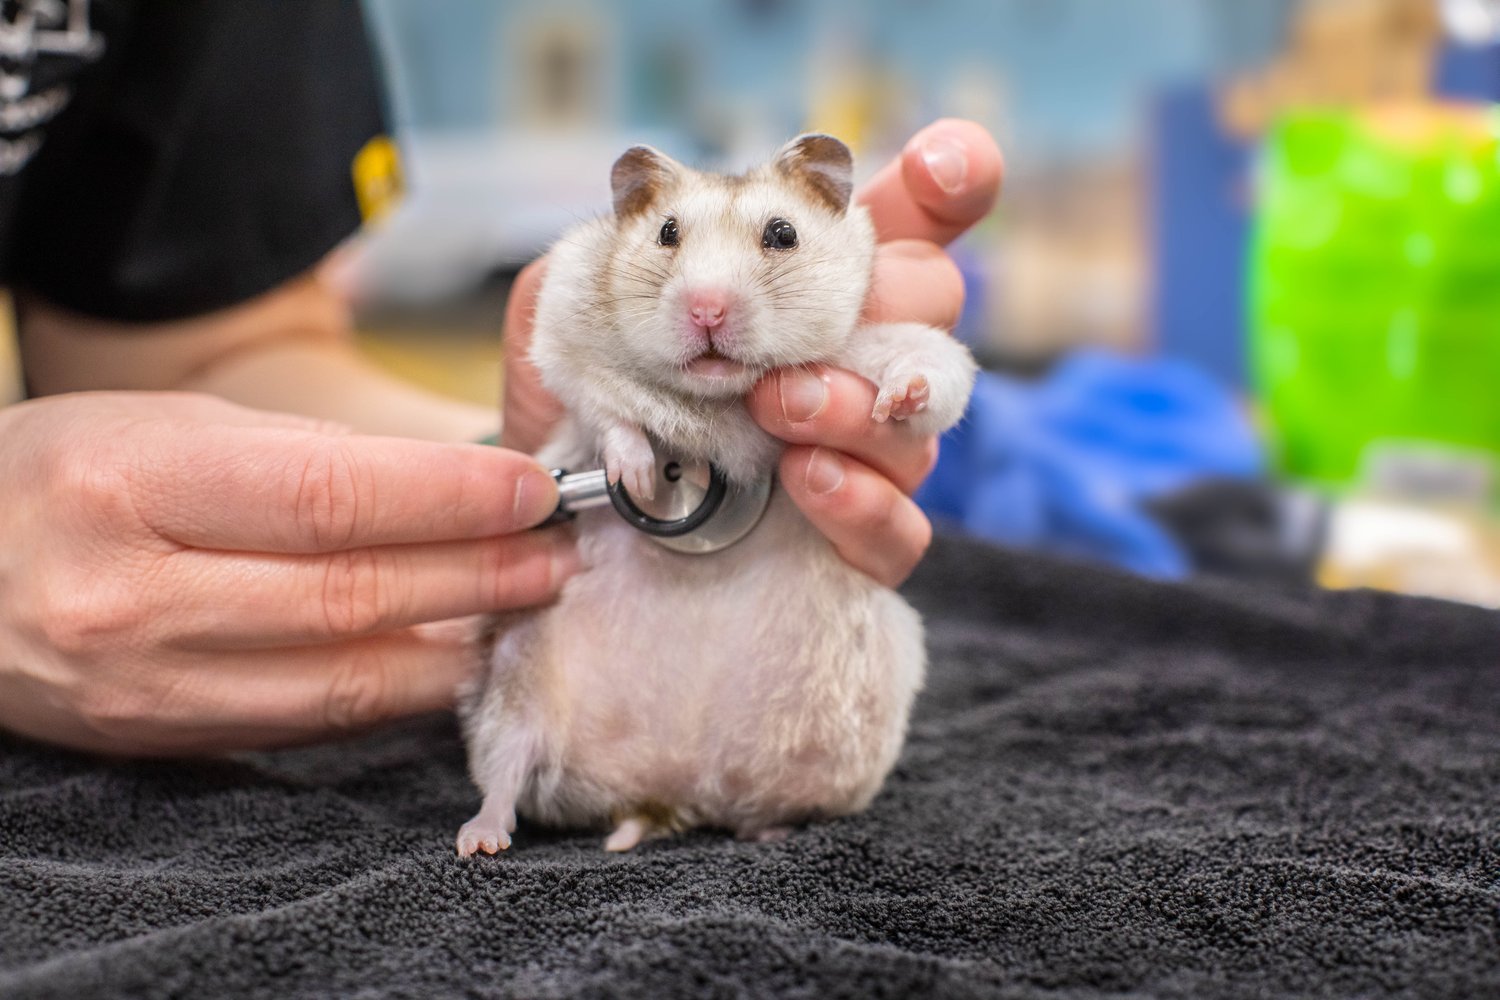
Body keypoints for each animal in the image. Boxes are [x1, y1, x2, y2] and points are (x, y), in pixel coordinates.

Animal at [450, 128, 978, 857]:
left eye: (783, 234)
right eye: (667, 232)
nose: (706, 308)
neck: (717, 397)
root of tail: (670, 791)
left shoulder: (878, 349)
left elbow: (931, 371)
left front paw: (897, 402)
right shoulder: (561, 327)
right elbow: (605, 408)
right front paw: (638, 474)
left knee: (760, 806)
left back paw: (771, 830)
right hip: (511, 681)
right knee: (506, 772)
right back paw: (480, 840)